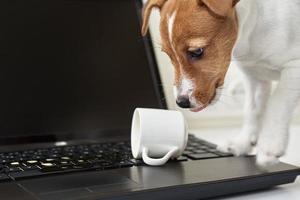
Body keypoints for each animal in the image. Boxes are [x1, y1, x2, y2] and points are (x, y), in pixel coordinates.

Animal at [142, 0, 300, 166]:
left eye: (197, 51)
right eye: (169, 55)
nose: (181, 103)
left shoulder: (294, 66)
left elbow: (278, 103)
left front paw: (270, 144)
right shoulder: (254, 75)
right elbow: (252, 109)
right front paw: (242, 143)